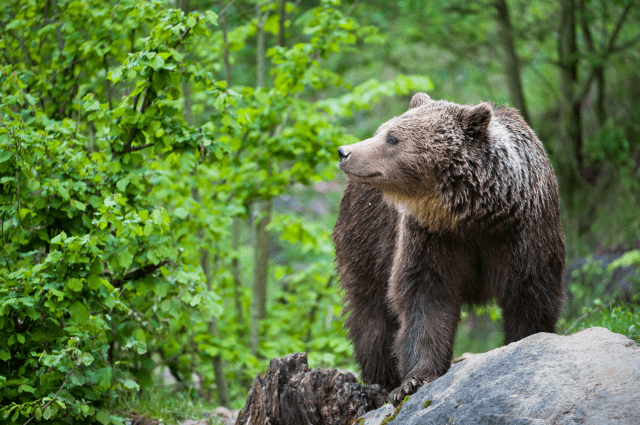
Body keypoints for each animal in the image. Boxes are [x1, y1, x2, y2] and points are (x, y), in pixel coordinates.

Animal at [332, 92, 566, 406]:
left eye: (392, 137)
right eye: (382, 130)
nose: (344, 151)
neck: (475, 216)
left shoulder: (525, 233)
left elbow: (530, 293)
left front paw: (523, 343)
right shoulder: (431, 237)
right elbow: (426, 298)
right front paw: (412, 381)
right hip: (365, 241)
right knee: (371, 312)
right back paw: (382, 376)